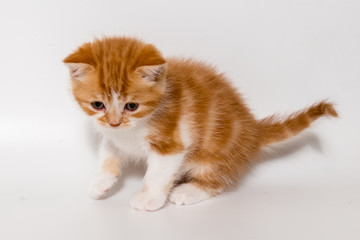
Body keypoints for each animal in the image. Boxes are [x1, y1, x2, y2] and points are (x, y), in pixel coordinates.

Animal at [62, 36, 338, 211]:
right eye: (98, 105)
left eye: (132, 106)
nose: (114, 122)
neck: (134, 127)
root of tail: (253, 129)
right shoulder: (113, 137)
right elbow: (108, 154)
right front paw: (100, 183)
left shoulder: (171, 145)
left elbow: (157, 174)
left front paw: (149, 199)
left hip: (214, 154)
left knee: (218, 179)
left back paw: (188, 191)